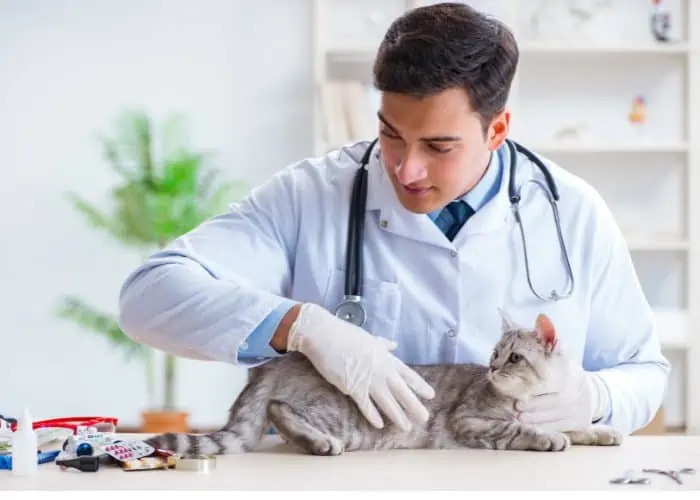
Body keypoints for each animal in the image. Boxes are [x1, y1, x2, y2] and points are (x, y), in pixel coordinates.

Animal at [145, 312, 620, 458]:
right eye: (493, 355)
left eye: (513, 357)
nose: (491, 370)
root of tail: (277, 363)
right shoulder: (469, 420)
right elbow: (519, 428)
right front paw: (545, 436)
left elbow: (578, 424)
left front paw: (602, 431)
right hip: (345, 419)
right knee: (281, 411)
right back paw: (320, 444)